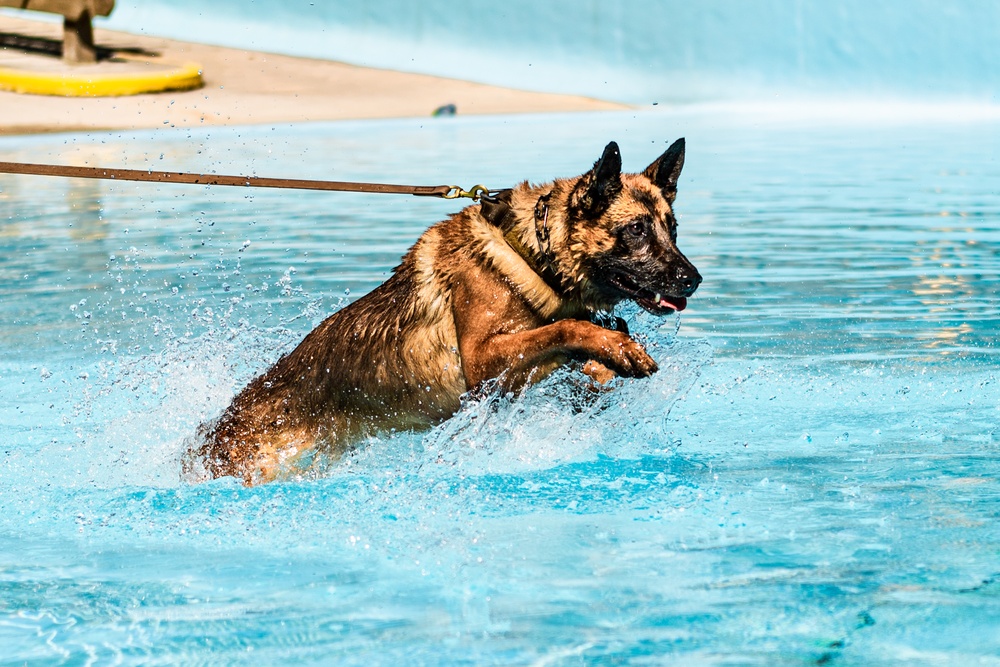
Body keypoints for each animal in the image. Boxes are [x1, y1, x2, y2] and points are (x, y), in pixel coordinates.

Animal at [188, 141, 704, 486]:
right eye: (636, 230)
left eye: (672, 228)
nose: (692, 280)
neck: (533, 251)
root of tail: (209, 437)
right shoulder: (482, 364)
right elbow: (565, 328)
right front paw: (615, 346)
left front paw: (608, 359)